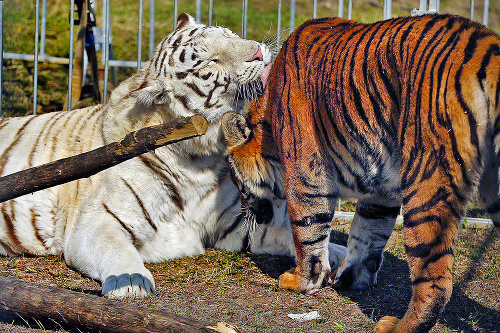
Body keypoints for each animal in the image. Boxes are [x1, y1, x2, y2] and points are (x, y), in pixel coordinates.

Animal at [0, 13, 346, 298]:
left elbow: (285, 232)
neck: (199, 162)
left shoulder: (235, 223)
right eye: (210, 63)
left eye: (229, 34)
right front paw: (131, 282)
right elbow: (117, 252)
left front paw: (338, 253)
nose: (259, 53)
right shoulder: (96, 223)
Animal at [222, 13, 500, 332]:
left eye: (238, 184)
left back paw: (396, 325)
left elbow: (308, 231)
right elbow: (368, 233)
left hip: (428, 180)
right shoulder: (383, 189)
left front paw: (300, 281)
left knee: (436, 280)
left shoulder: (306, 171)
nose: (248, 214)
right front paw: (351, 279)